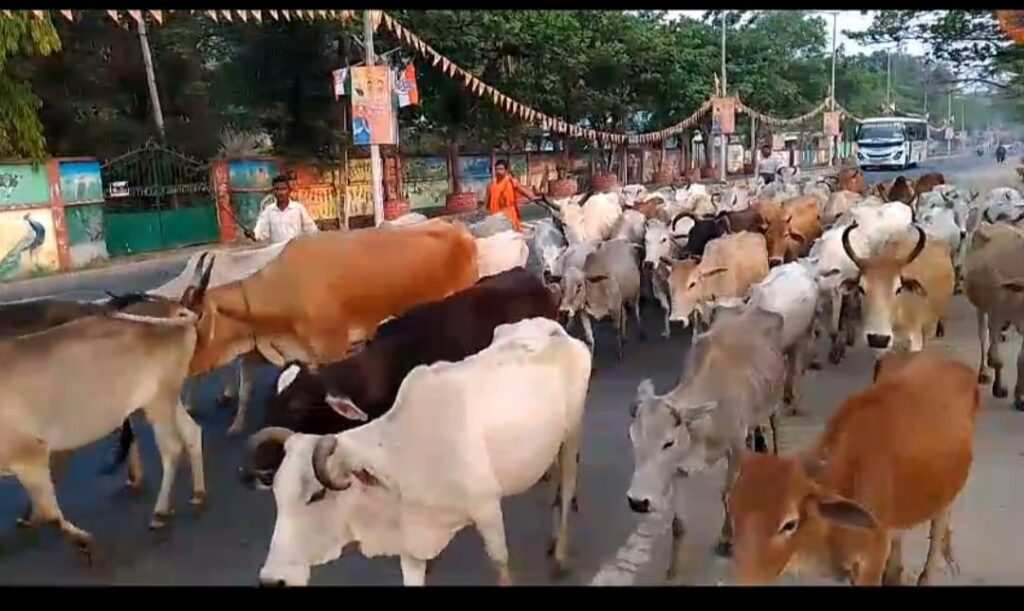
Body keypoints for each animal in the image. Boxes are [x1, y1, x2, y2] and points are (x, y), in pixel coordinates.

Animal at [0, 256, 216, 561]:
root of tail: (176, 308)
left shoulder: (28, 454)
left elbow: (50, 514)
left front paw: (86, 543)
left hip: (160, 398)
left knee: (172, 447)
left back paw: (160, 512)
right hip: (160, 398)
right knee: (192, 432)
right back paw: (198, 493)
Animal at [257, 317, 592, 586]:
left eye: (316, 495)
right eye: (276, 494)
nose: (273, 580)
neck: (403, 455)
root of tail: (555, 329)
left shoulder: (487, 508)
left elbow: (501, 563)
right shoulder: (411, 544)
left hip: (572, 434)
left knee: (567, 487)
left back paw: (560, 554)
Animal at [626, 307, 787, 581]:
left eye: (668, 442)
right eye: (633, 438)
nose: (638, 502)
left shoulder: (735, 448)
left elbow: (727, 494)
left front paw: (727, 540)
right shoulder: (679, 469)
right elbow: (678, 524)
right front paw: (673, 569)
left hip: (774, 400)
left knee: (773, 425)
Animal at [963, 222, 1024, 409]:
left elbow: (1022, 359)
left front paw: (1020, 396)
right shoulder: (997, 315)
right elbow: (998, 358)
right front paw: (999, 388)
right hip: (982, 308)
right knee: (984, 336)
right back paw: (984, 371)